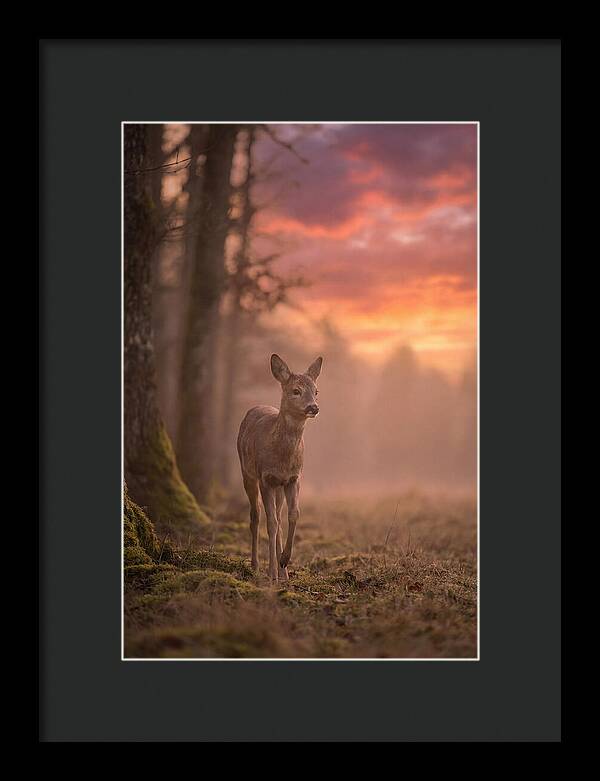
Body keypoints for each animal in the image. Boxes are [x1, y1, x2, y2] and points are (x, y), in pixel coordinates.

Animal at [237, 353, 323, 582]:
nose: (313, 407)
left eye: (316, 391)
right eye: (296, 390)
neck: (283, 458)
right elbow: (271, 523)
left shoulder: (294, 478)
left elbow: (293, 515)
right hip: (247, 473)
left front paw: (284, 560)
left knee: (277, 515)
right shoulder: (266, 478)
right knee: (256, 515)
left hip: (279, 487)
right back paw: (256, 565)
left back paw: (283, 571)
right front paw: (272, 573)